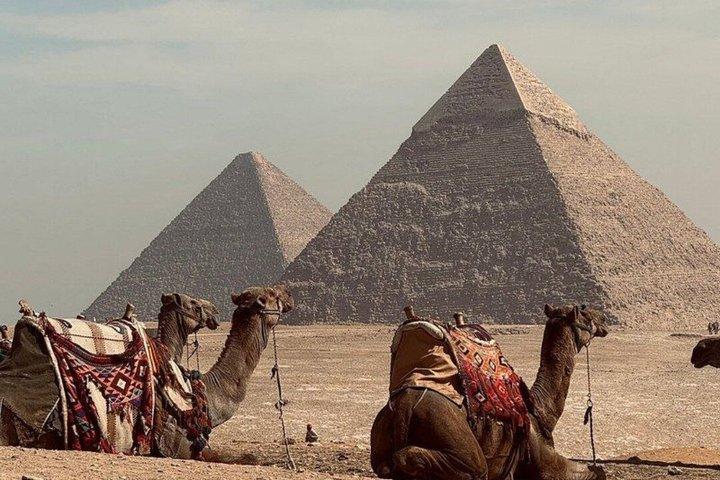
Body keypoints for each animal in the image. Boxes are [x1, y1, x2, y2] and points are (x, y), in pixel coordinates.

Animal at [370, 304, 609, 480]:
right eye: (584, 313)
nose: (604, 319)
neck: (539, 410)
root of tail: (403, 406)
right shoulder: (544, 464)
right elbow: (596, 471)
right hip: (459, 448)